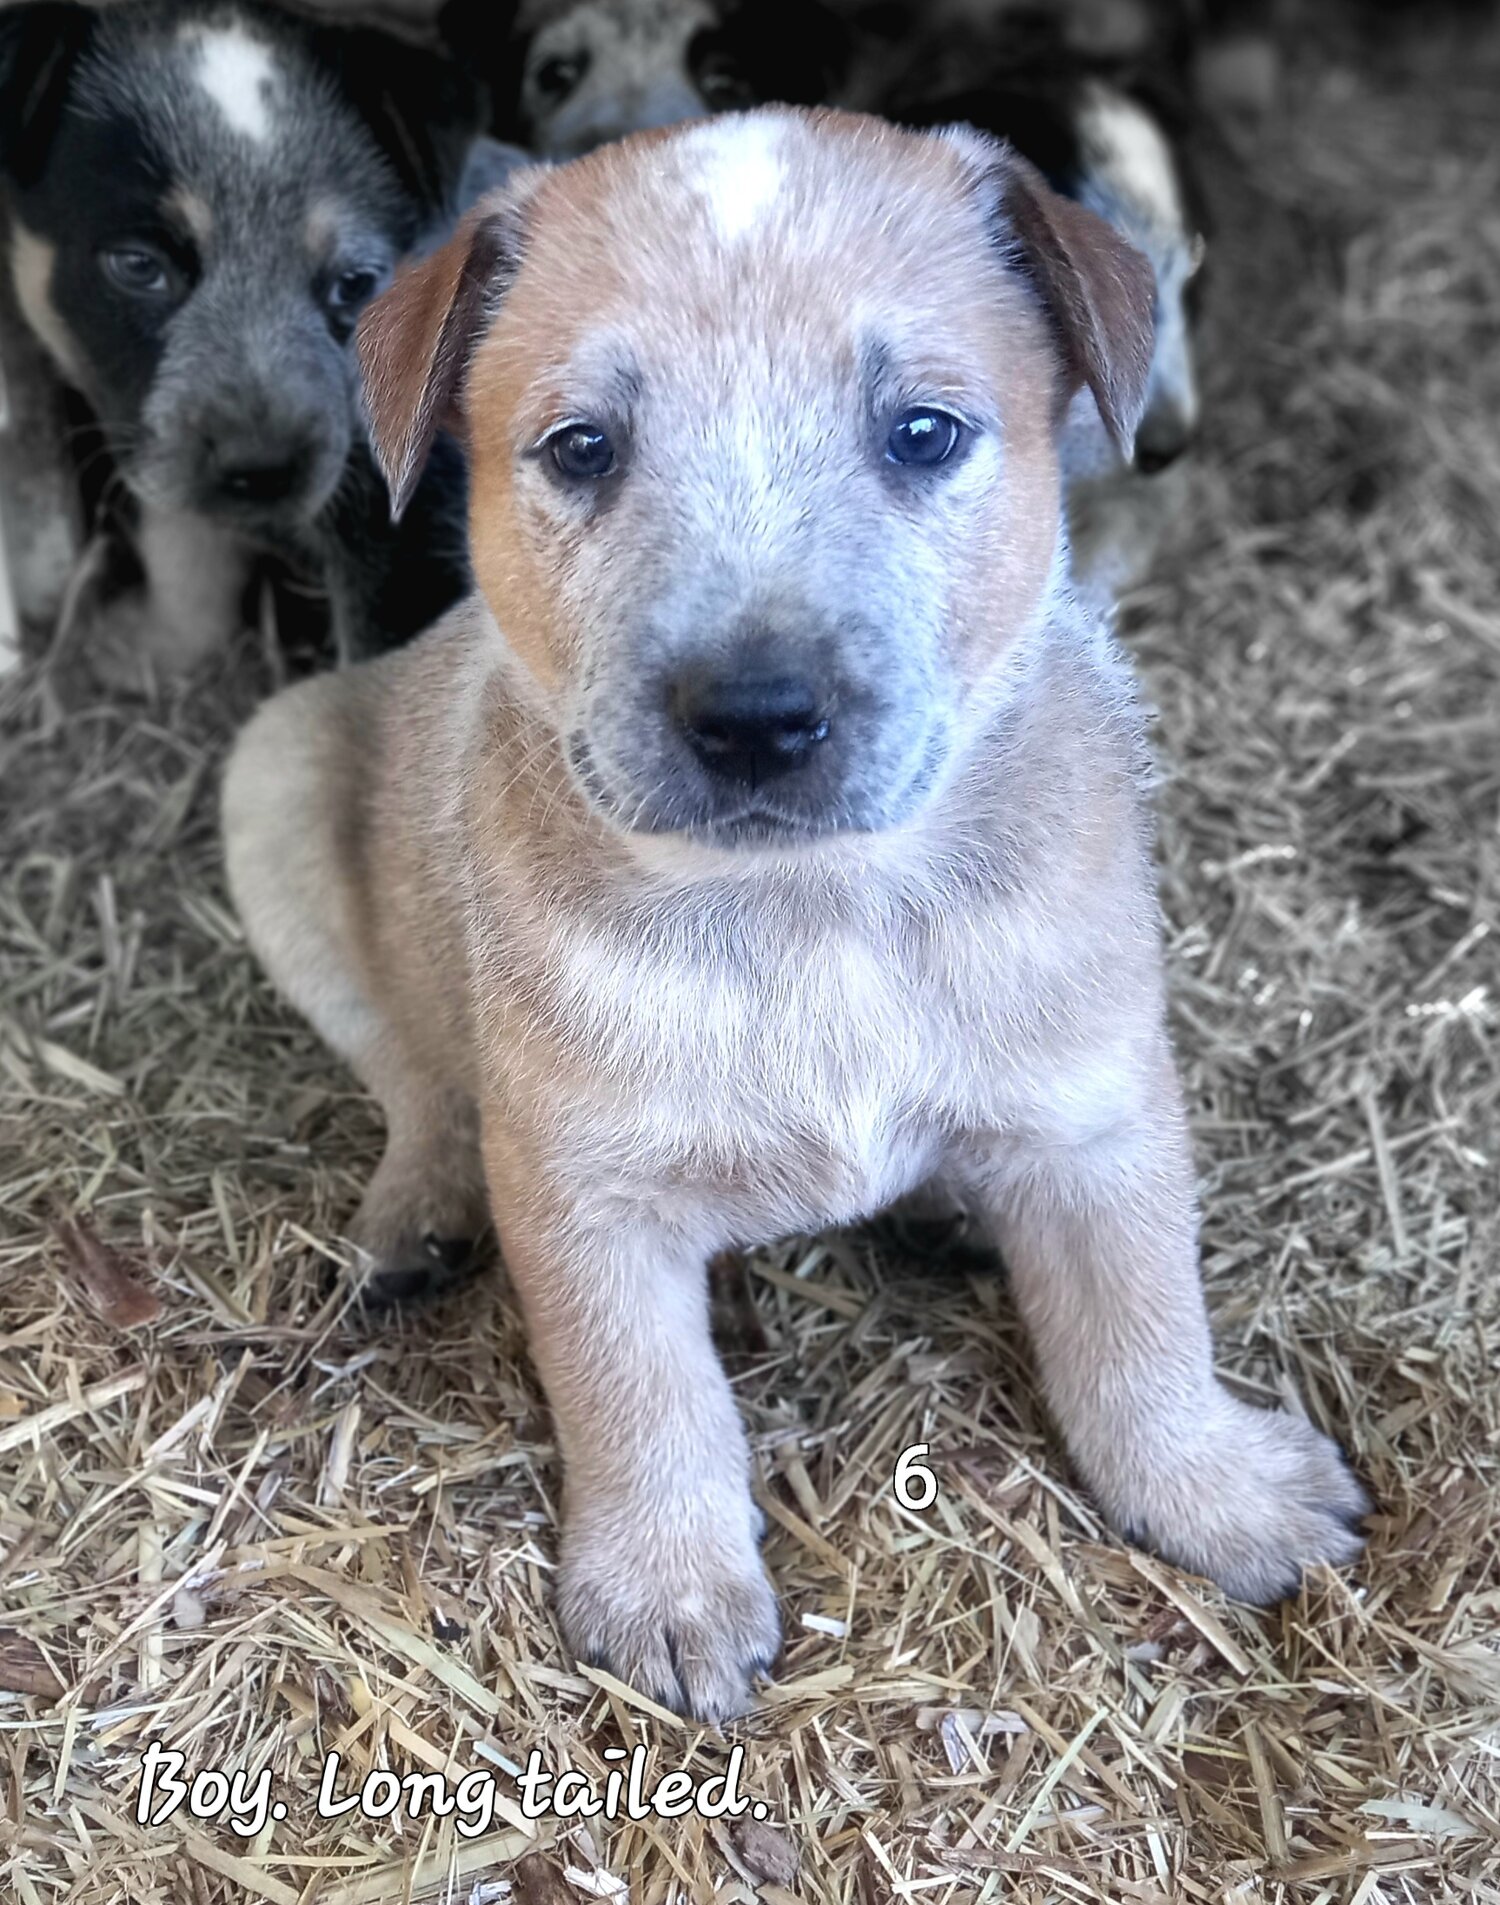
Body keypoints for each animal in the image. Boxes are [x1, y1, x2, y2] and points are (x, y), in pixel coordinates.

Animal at [0, 0, 514, 678]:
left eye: (355, 284)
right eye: (137, 266)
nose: (262, 470)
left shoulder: (413, 536)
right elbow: (182, 551)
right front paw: (157, 648)